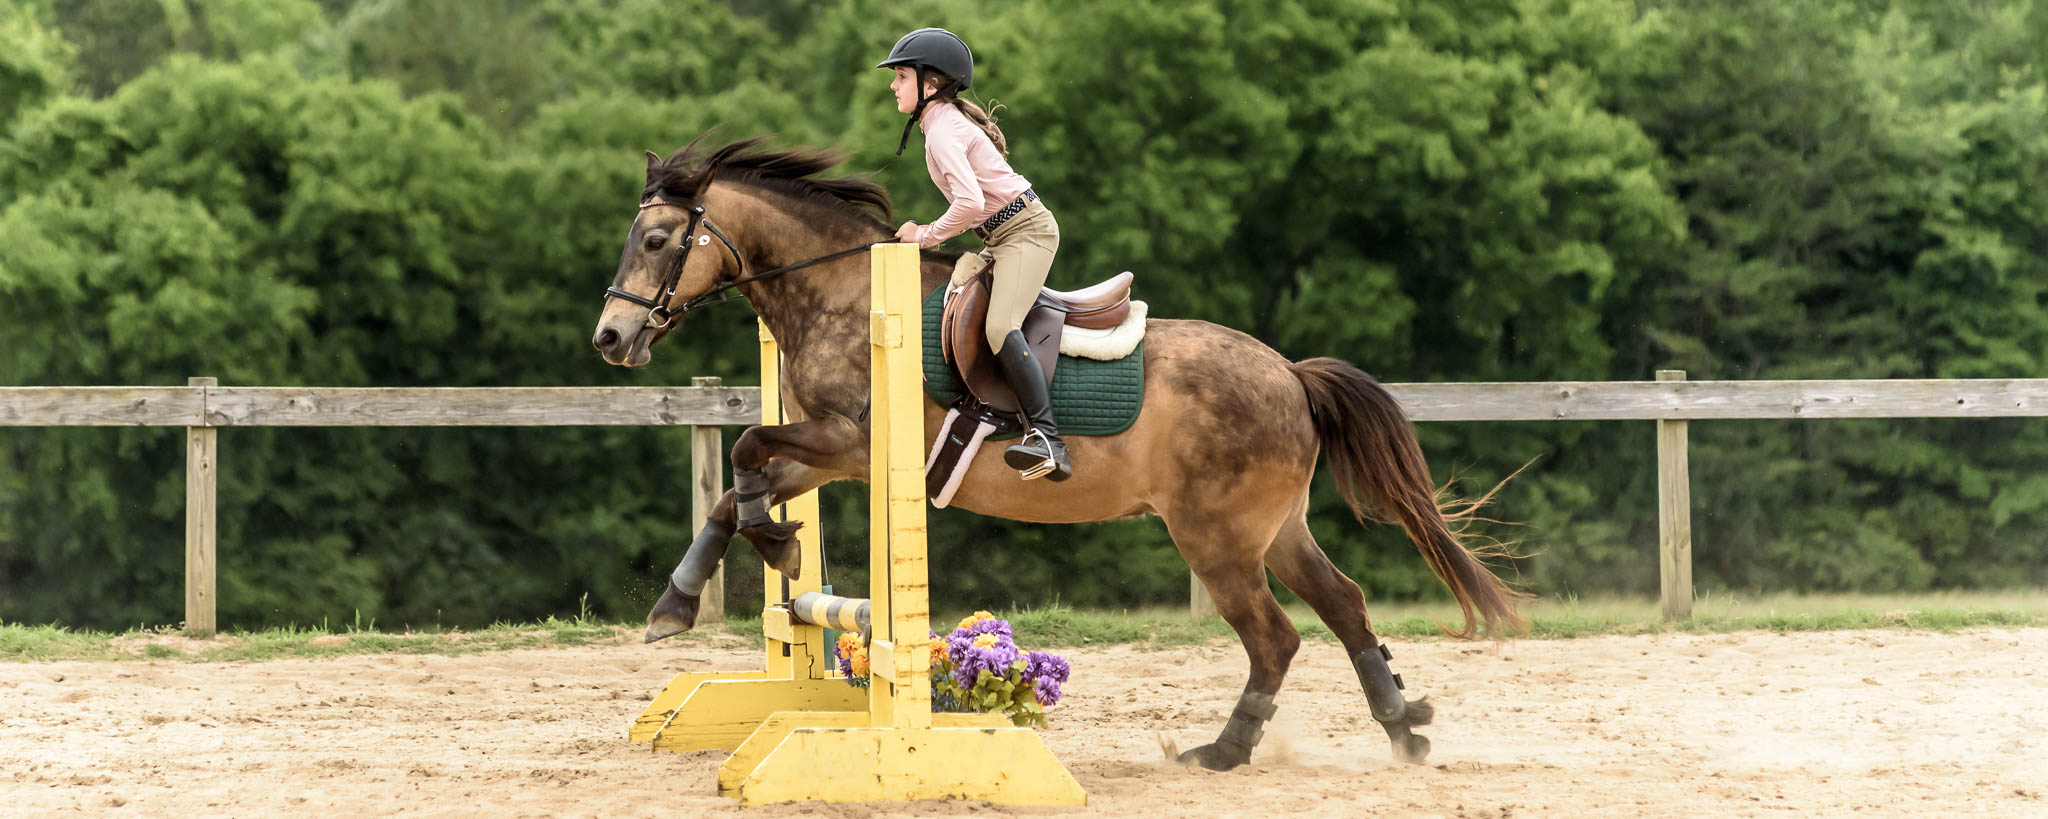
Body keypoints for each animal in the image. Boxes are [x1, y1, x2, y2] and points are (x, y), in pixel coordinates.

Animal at [589, 137, 1523, 769]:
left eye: (659, 241)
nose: (611, 338)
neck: (844, 294)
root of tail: (1290, 374)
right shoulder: (824, 450)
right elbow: (733, 488)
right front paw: (682, 599)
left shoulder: (852, 442)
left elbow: (747, 445)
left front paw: (775, 546)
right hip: (1276, 528)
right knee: (1346, 606)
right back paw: (1402, 728)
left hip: (1217, 538)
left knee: (1276, 637)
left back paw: (1222, 750)